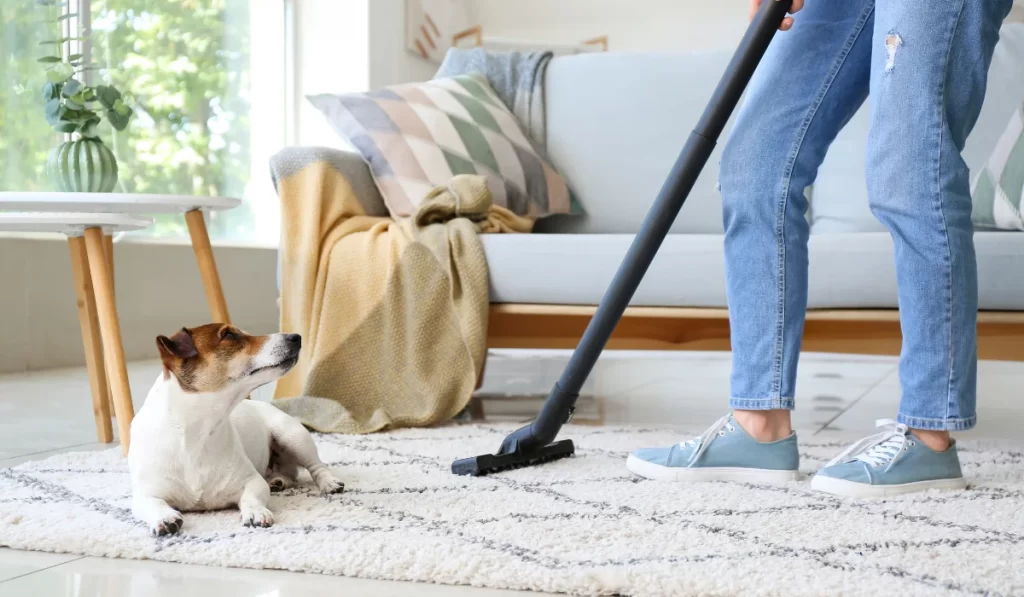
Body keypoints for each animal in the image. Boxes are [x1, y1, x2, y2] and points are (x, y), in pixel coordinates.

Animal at [126, 325, 344, 540]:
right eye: (230, 335)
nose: (296, 337)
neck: (197, 433)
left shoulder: (252, 481)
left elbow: (251, 497)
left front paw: (255, 511)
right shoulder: (145, 493)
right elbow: (153, 504)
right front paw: (165, 517)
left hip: (292, 435)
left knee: (316, 466)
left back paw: (329, 482)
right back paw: (278, 481)